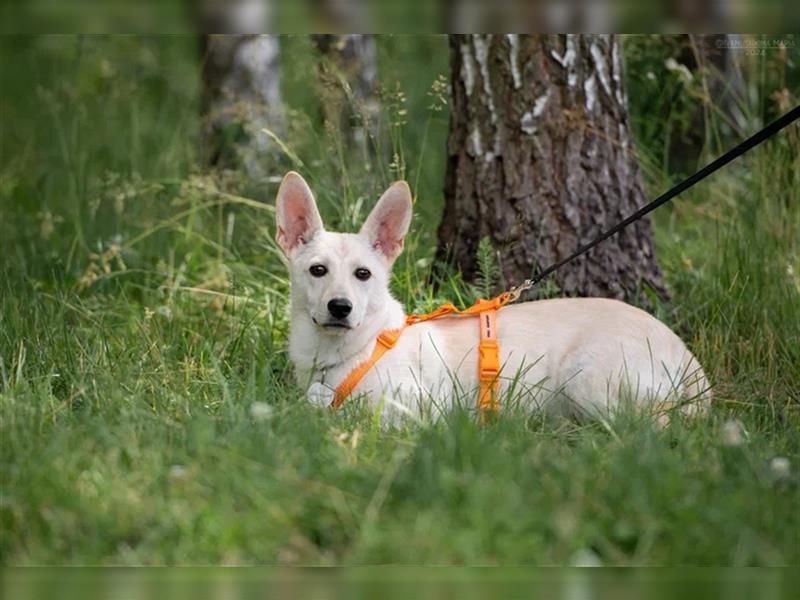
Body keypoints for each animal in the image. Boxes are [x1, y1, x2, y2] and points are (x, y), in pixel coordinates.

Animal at [274, 170, 708, 422]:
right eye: (317, 270)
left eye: (363, 274)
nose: (340, 308)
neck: (352, 352)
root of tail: (688, 359)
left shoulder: (418, 408)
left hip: (585, 380)